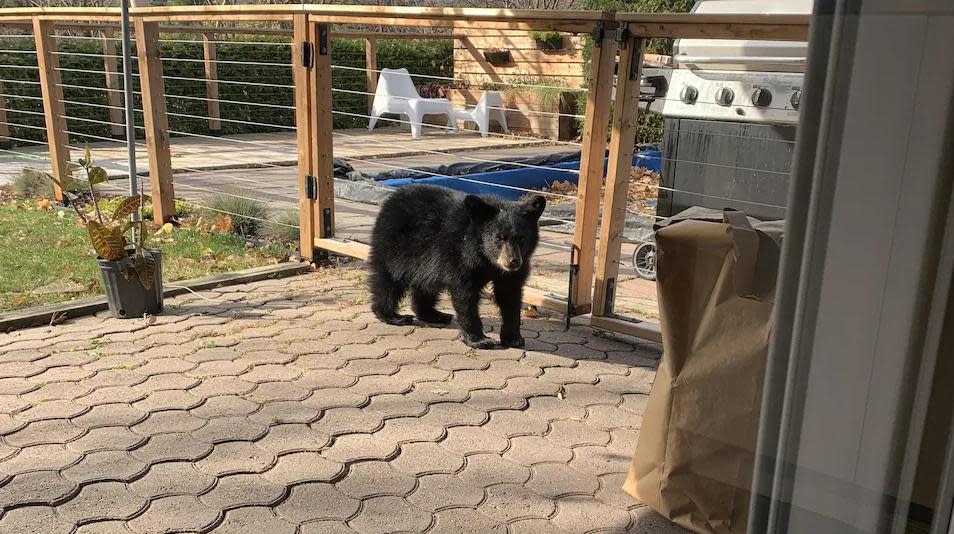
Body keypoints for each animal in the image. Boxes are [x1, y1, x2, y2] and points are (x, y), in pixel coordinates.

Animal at [366, 185, 544, 352]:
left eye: (521, 238)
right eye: (499, 237)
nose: (512, 262)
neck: (486, 259)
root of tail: (390, 200)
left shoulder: (513, 271)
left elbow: (510, 295)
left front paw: (513, 338)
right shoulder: (461, 256)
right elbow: (465, 296)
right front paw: (480, 340)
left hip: (425, 261)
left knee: (426, 285)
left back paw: (434, 314)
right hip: (396, 247)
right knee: (388, 281)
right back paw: (392, 316)